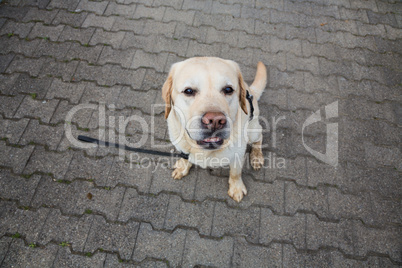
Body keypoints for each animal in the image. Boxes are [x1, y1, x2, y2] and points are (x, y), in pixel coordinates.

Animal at [160, 57, 266, 202]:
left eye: (228, 89)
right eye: (188, 91)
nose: (215, 121)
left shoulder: (238, 154)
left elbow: (235, 173)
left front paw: (236, 188)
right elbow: (185, 156)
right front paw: (183, 166)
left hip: (252, 131)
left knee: (260, 136)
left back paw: (256, 156)